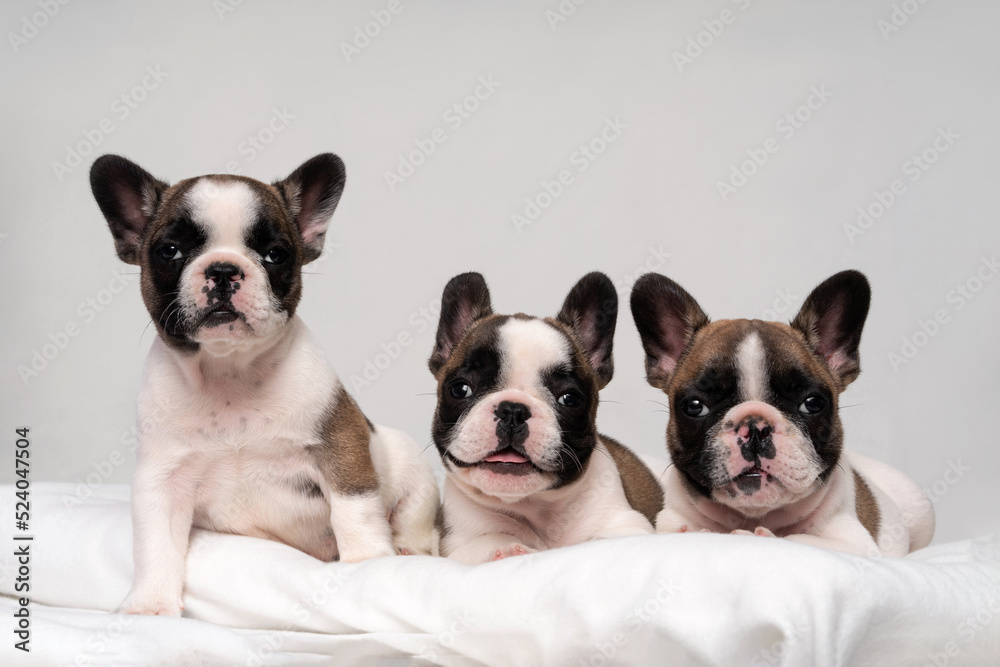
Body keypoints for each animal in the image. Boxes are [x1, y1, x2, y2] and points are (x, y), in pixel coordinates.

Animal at [89, 151, 438, 616]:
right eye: (170, 251)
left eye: (276, 254)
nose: (223, 269)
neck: (228, 372)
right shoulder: (160, 480)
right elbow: (155, 543)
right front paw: (150, 604)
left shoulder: (339, 447)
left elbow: (355, 509)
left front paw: (365, 561)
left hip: (414, 476)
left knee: (418, 528)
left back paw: (406, 549)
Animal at [428, 272, 664, 564]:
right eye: (460, 389)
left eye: (570, 399)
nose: (513, 410)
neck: (535, 506)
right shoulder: (456, 543)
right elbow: (486, 541)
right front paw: (507, 548)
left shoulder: (628, 523)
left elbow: (606, 541)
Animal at [632, 268, 936, 556]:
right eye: (694, 406)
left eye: (813, 403)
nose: (755, 428)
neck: (758, 516)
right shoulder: (669, 522)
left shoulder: (853, 543)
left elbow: (796, 539)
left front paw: (755, 536)